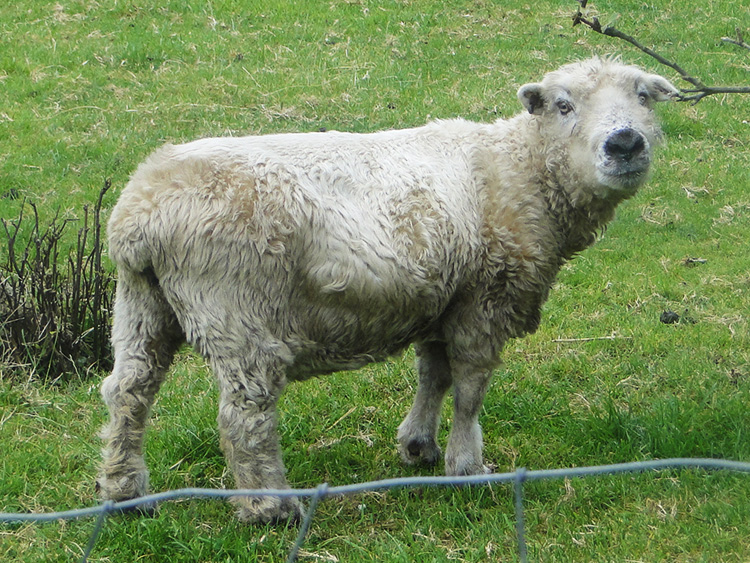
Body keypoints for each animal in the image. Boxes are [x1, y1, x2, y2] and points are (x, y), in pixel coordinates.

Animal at [97, 57, 680, 524]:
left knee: (128, 392)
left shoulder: (445, 297)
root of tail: (140, 215)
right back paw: (271, 508)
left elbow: (434, 375)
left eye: (643, 97)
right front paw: (467, 466)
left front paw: (419, 446)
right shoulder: (485, 301)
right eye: (563, 105)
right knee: (245, 413)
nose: (625, 142)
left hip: (143, 303)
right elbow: (470, 389)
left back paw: (125, 493)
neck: (522, 168)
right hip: (236, 308)